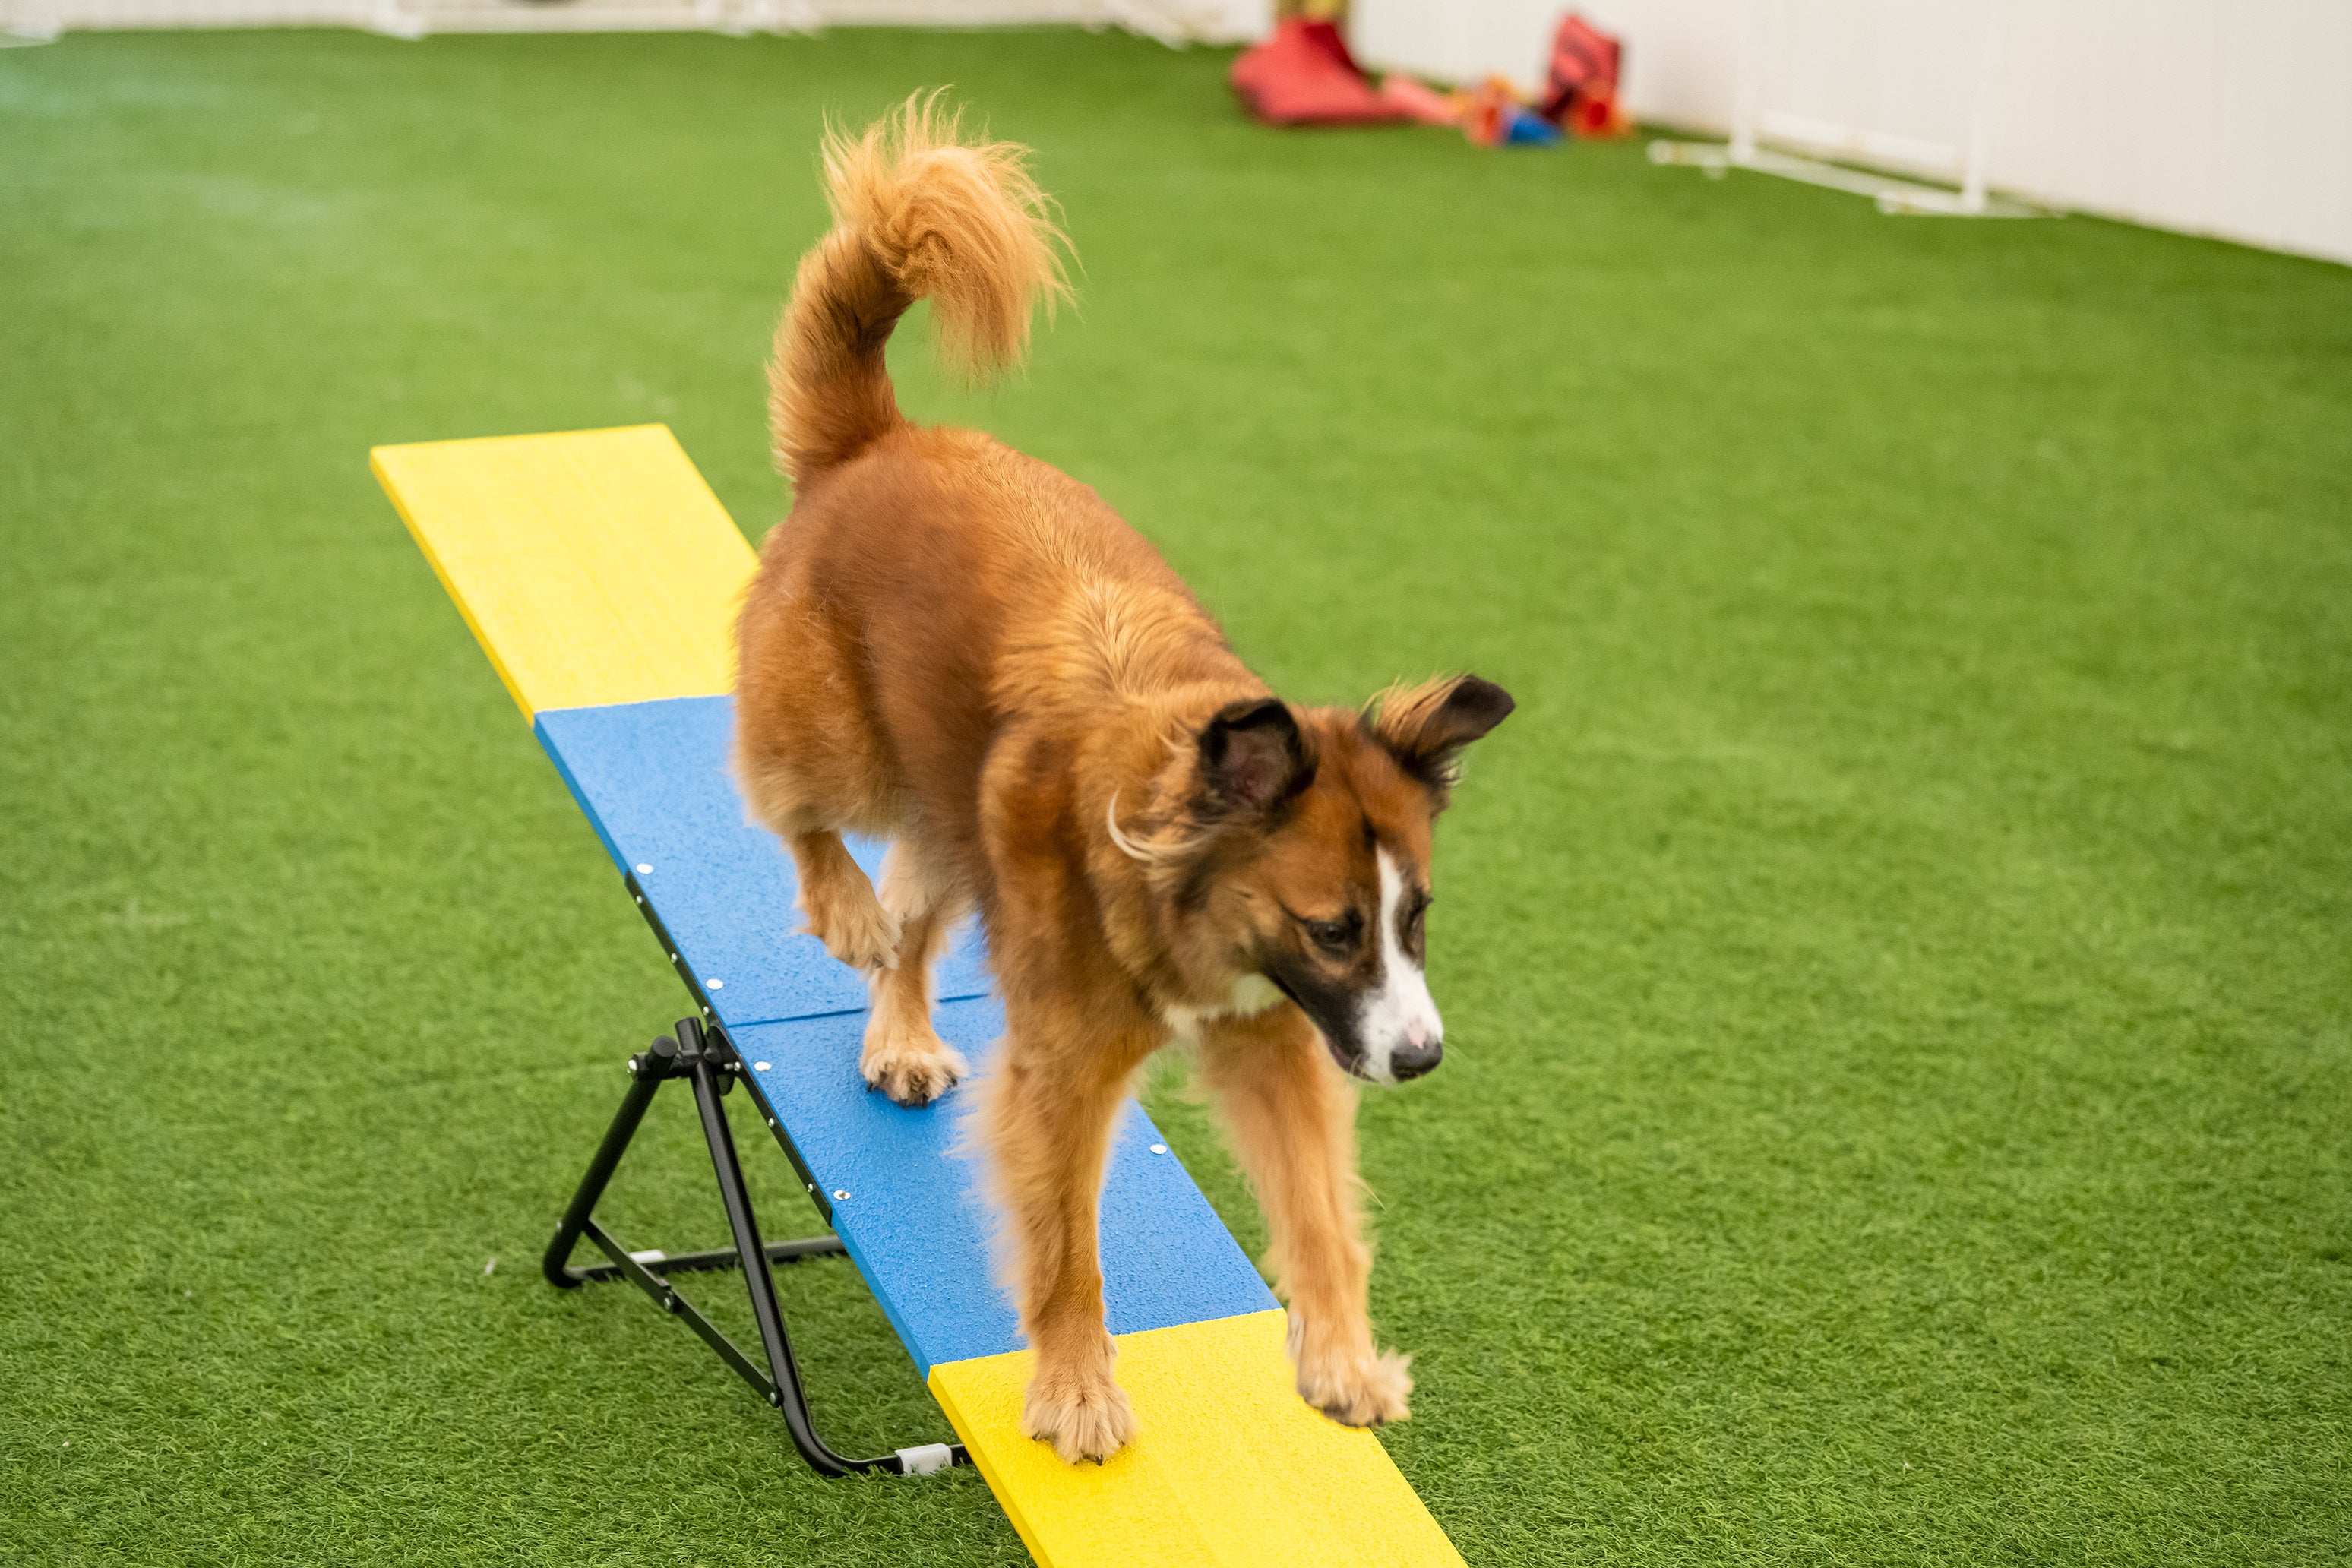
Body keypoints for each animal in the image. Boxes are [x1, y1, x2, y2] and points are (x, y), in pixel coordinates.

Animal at [729, 101, 1505, 1476]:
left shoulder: (1276, 1043)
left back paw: (903, 1033)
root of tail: (884, 439)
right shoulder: (1065, 1069)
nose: (1420, 1059)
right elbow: (1065, 1249)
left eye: (1414, 918)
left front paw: (1343, 1359)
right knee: (801, 816)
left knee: (916, 919)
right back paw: (844, 908)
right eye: (1333, 927)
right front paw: (1076, 1388)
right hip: (843, 744)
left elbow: (1319, 1212)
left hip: (952, 813)